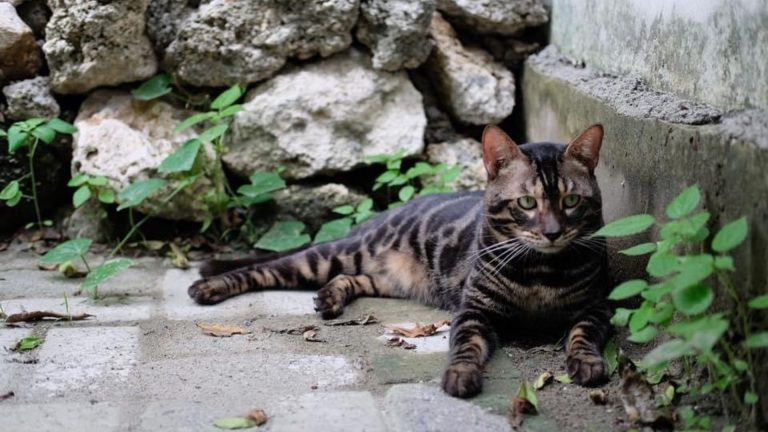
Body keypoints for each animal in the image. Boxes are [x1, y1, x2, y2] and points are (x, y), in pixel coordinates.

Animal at [190, 123, 612, 396]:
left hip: (384, 277)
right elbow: (465, 345)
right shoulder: (474, 310)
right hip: (329, 256)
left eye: (571, 201)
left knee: (350, 280)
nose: (553, 232)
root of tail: (387, 212)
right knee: (261, 269)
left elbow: (582, 333)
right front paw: (461, 375)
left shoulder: (597, 307)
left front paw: (588, 363)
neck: (541, 271)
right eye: (526, 202)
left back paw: (330, 298)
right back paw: (208, 286)